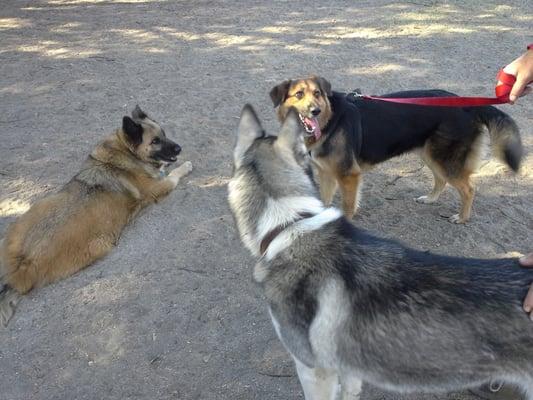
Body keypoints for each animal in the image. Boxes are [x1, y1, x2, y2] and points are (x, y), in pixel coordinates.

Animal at [0, 105, 191, 324]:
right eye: (155, 141)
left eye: (164, 134)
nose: (179, 148)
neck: (126, 152)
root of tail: (22, 266)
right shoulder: (158, 187)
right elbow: (174, 174)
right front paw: (185, 166)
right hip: (101, 245)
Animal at [272, 76, 520, 223]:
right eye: (299, 94)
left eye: (317, 94)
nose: (314, 111)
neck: (330, 119)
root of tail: (469, 105)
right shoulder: (326, 173)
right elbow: (324, 201)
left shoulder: (348, 175)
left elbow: (348, 206)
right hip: (430, 154)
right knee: (441, 180)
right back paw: (431, 199)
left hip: (444, 159)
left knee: (468, 189)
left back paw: (462, 217)